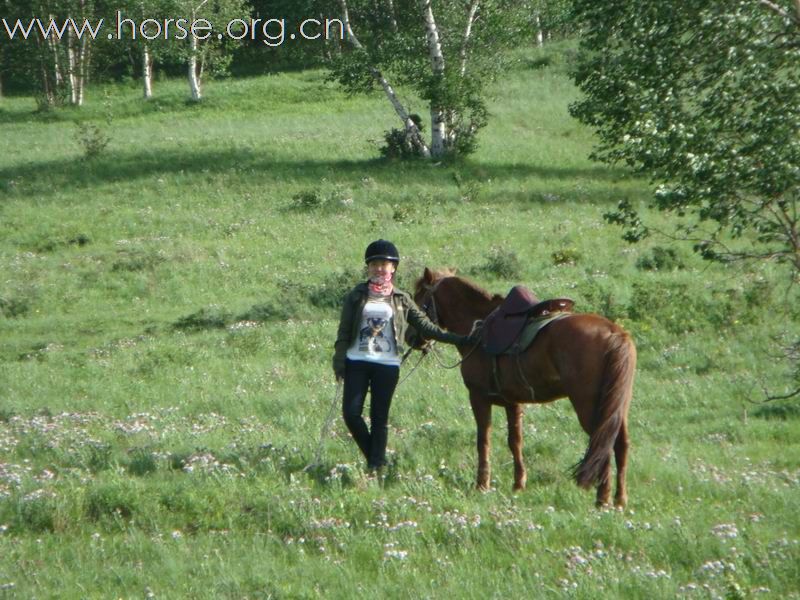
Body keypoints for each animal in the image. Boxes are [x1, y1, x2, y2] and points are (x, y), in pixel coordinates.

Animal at [416, 268, 636, 506]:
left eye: (419, 298)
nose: (411, 337)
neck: (478, 329)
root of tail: (615, 333)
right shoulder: (512, 401)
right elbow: (515, 441)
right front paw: (518, 484)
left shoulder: (478, 397)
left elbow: (483, 440)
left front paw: (482, 484)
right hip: (616, 406)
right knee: (620, 444)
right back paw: (619, 499)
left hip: (590, 407)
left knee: (602, 442)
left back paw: (602, 499)